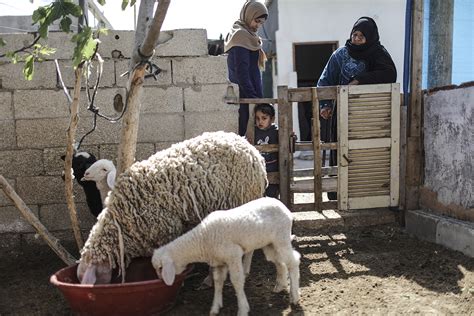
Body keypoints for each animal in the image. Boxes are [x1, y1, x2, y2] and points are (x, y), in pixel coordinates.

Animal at [152, 198, 300, 316]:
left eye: (160, 268)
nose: (160, 281)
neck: (202, 239)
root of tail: (282, 205)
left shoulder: (233, 255)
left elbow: (237, 281)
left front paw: (243, 309)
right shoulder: (219, 262)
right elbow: (218, 282)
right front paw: (215, 307)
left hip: (281, 238)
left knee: (293, 262)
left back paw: (295, 297)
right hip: (269, 244)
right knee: (280, 262)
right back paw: (280, 285)